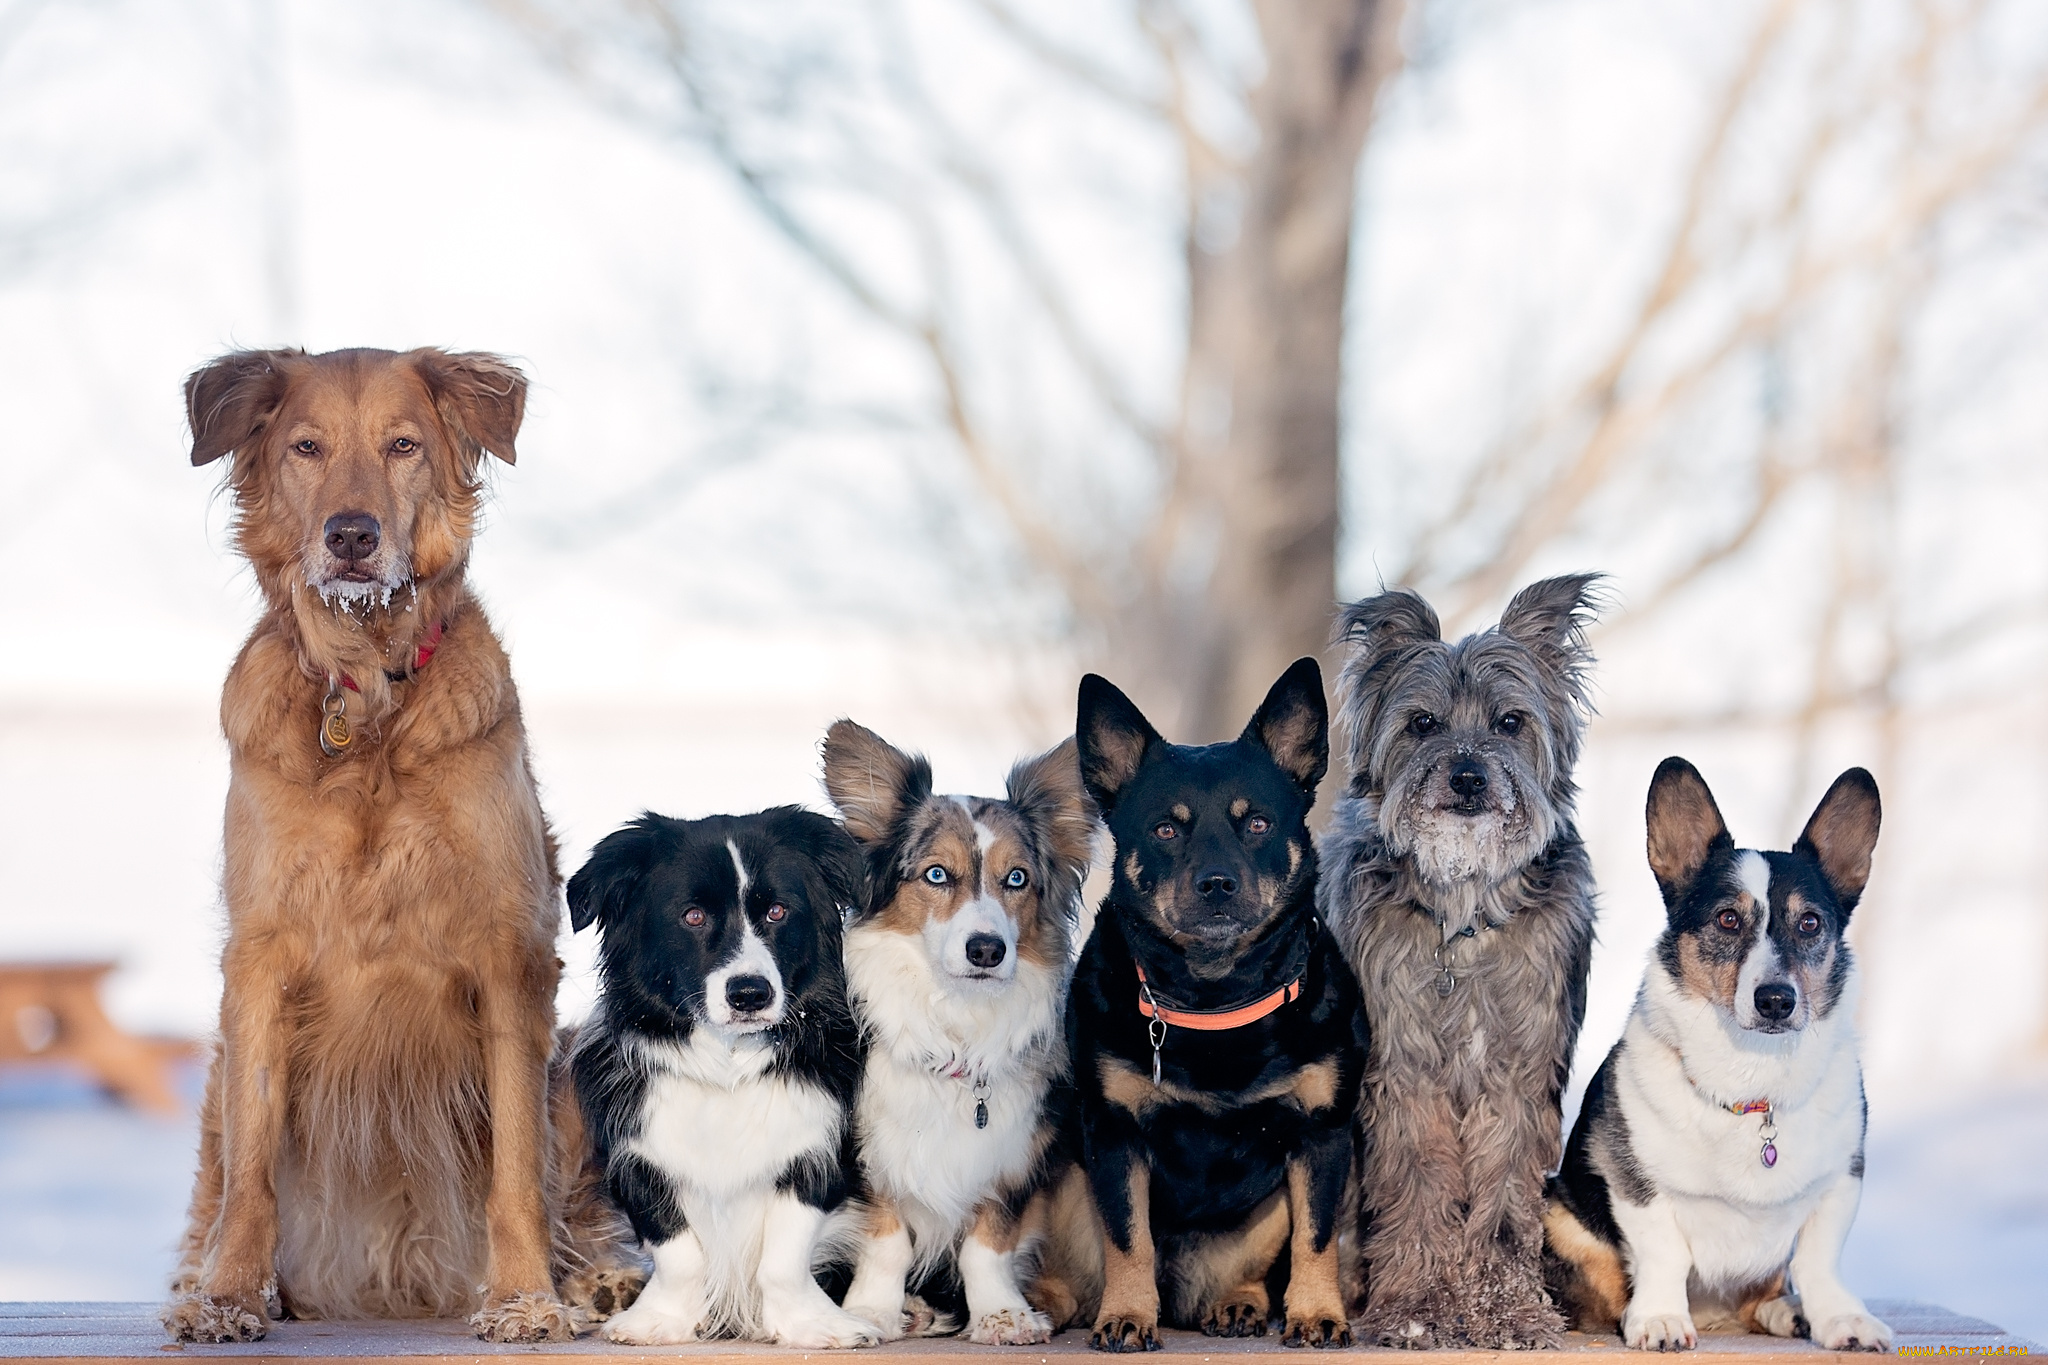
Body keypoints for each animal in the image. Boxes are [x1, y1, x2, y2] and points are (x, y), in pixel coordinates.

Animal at [164, 349, 634, 1342]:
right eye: (306, 447)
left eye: (403, 444)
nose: (352, 535)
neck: (368, 694)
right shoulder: (259, 956)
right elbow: (250, 1172)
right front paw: (229, 1297)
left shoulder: (510, 952)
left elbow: (517, 1168)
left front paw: (525, 1298)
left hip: (576, 1059)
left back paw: (592, 1280)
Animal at [569, 806, 880, 1350]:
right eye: (693, 916)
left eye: (777, 911)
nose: (750, 994)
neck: (727, 1063)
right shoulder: (640, 1161)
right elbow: (676, 1250)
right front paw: (661, 1320)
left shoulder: (817, 1156)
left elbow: (785, 1255)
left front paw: (809, 1324)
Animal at [1048, 663, 1368, 1358]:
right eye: (1167, 829)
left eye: (1258, 824)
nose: (1217, 883)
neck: (1217, 1001)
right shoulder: (1113, 1132)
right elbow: (1129, 1238)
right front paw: (1127, 1316)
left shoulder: (1323, 1133)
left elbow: (1318, 1237)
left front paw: (1316, 1315)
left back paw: (1238, 1305)